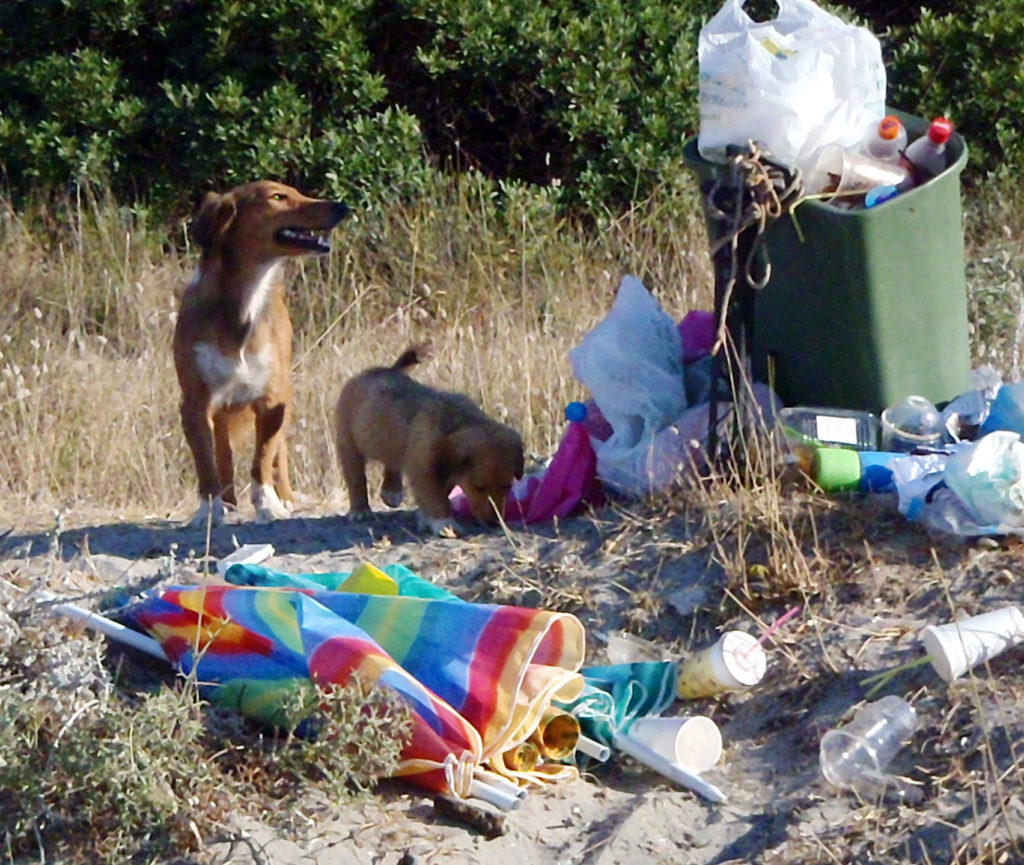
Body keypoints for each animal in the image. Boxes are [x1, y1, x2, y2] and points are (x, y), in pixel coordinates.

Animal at [174, 179, 350, 524]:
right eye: (277, 197)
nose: (342, 206)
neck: (241, 306)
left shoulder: (272, 401)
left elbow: (263, 459)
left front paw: (269, 504)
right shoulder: (195, 404)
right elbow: (207, 464)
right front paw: (210, 510)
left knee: (278, 452)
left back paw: (285, 497)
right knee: (223, 451)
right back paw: (228, 501)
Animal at [335, 346, 524, 532]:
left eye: (508, 486)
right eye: (479, 487)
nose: (494, 523)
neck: (455, 423)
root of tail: (386, 370)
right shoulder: (423, 472)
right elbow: (436, 500)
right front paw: (445, 524)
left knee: (392, 464)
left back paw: (392, 491)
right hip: (348, 445)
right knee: (356, 479)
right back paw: (360, 510)